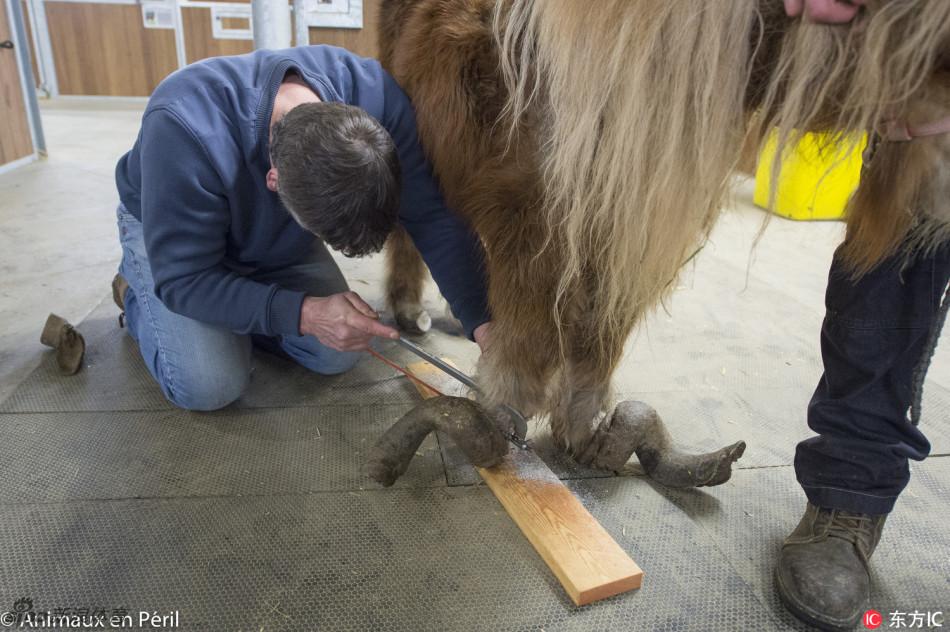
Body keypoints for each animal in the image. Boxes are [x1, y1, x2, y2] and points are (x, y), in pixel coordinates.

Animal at [380, 0, 950, 474]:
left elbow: (600, 330)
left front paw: (582, 431)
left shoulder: (624, 219)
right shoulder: (533, 209)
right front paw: (509, 412)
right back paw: (409, 311)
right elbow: (533, 335)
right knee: (411, 231)